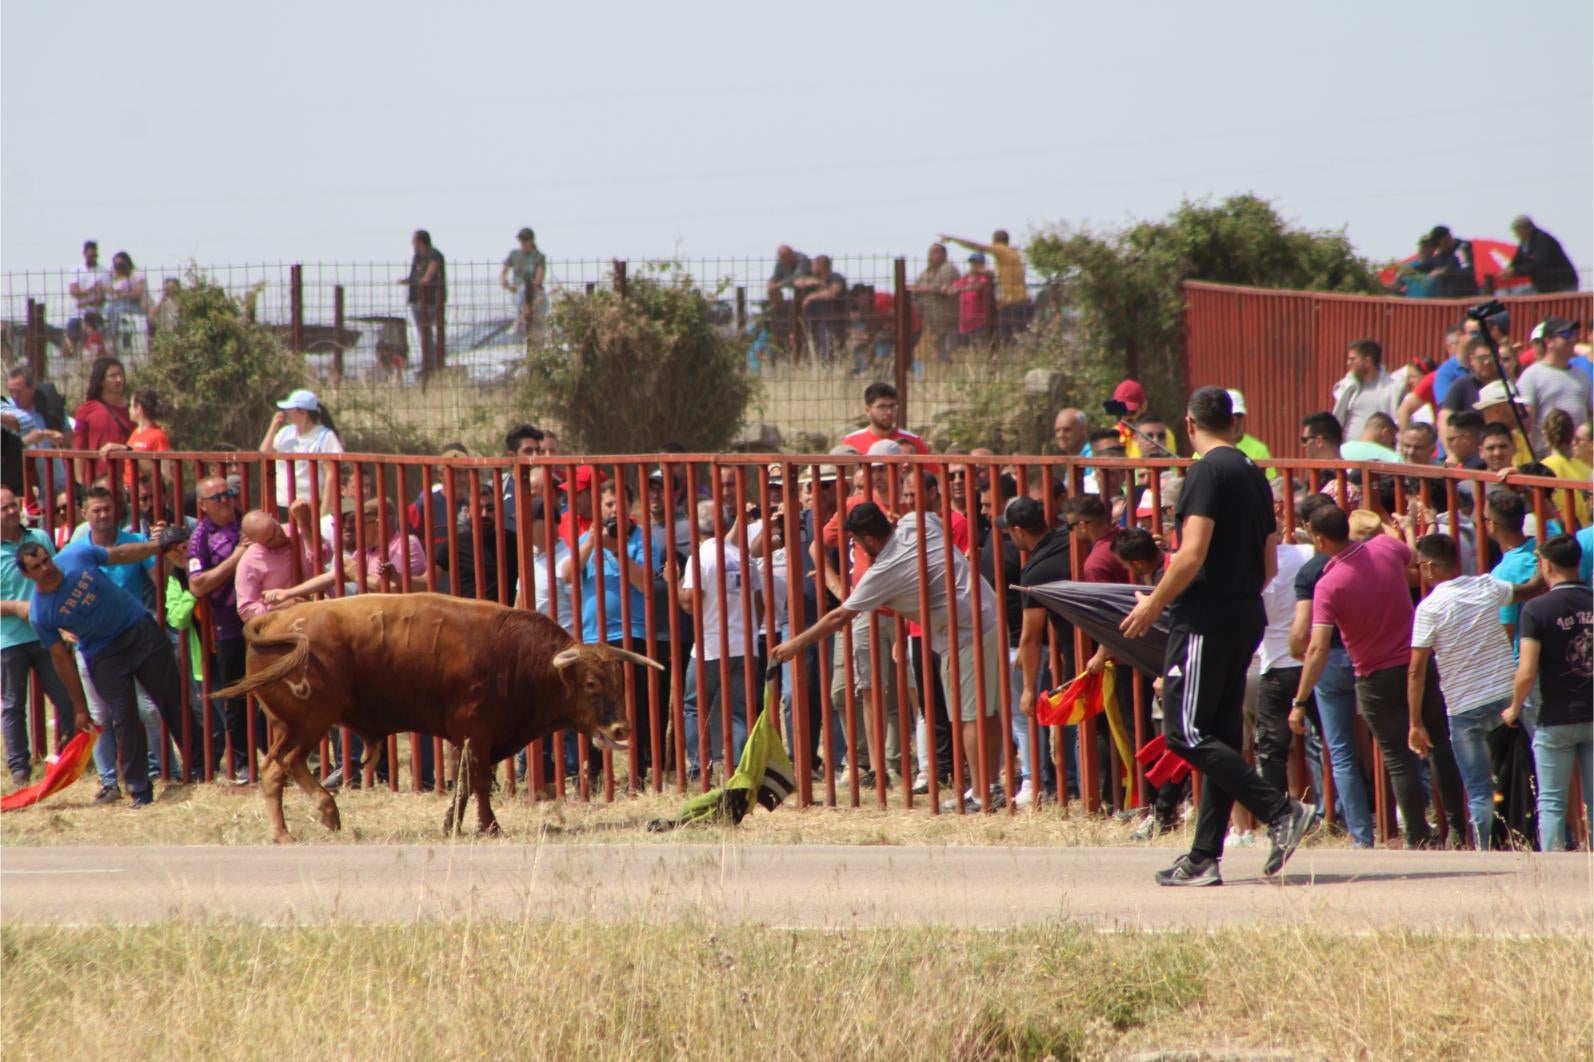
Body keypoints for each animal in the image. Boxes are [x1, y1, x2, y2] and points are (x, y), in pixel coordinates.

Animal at [213, 590, 659, 841]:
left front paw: (451, 825)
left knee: (282, 766)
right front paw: (490, 827)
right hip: (308, 722)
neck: (516, 657)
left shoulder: (466, 740)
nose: (622, 727)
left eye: (617, 679)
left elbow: (461, 785)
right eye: (591, 683)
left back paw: (320, 815)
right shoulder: (475, 734)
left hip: (289, 726)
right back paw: (294, 828)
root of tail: (275, 619)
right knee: (279, 769)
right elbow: (477, 783)